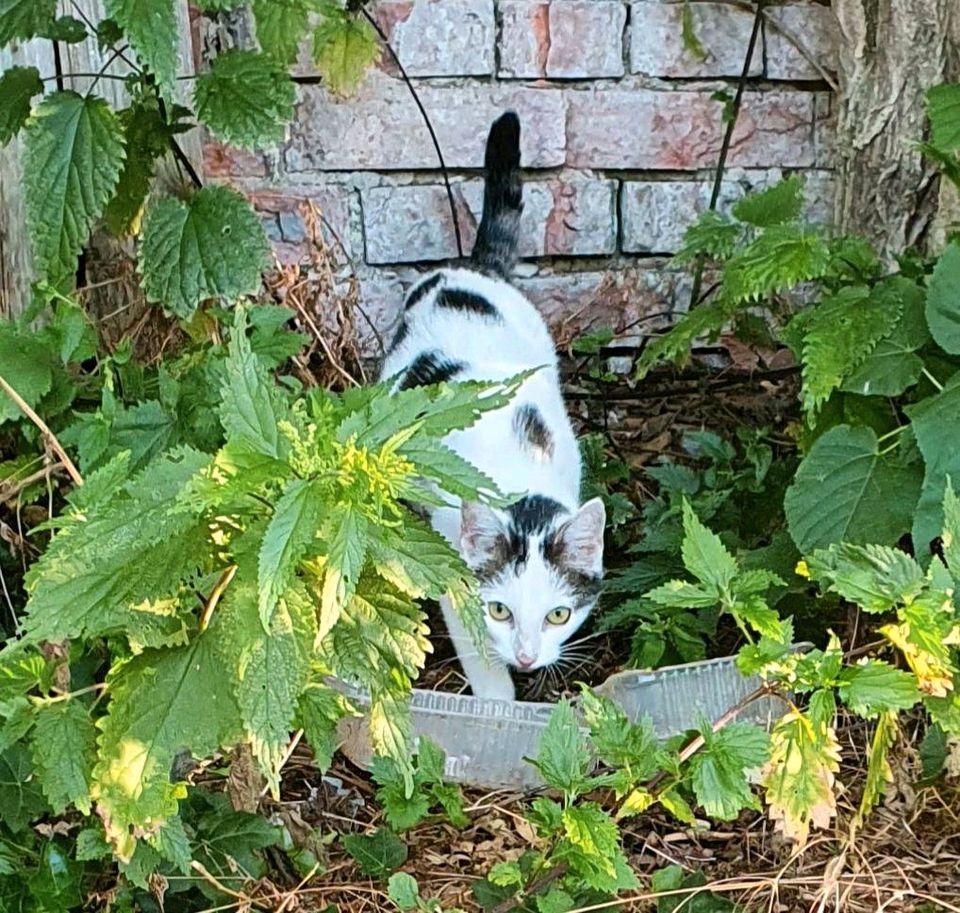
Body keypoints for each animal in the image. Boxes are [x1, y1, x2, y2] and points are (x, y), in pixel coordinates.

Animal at [378, 112, 604, 700]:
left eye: (557, 615)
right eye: (499, 610)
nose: (525, 657)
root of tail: (473, 268)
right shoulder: (450, 563)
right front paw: (499, 702)